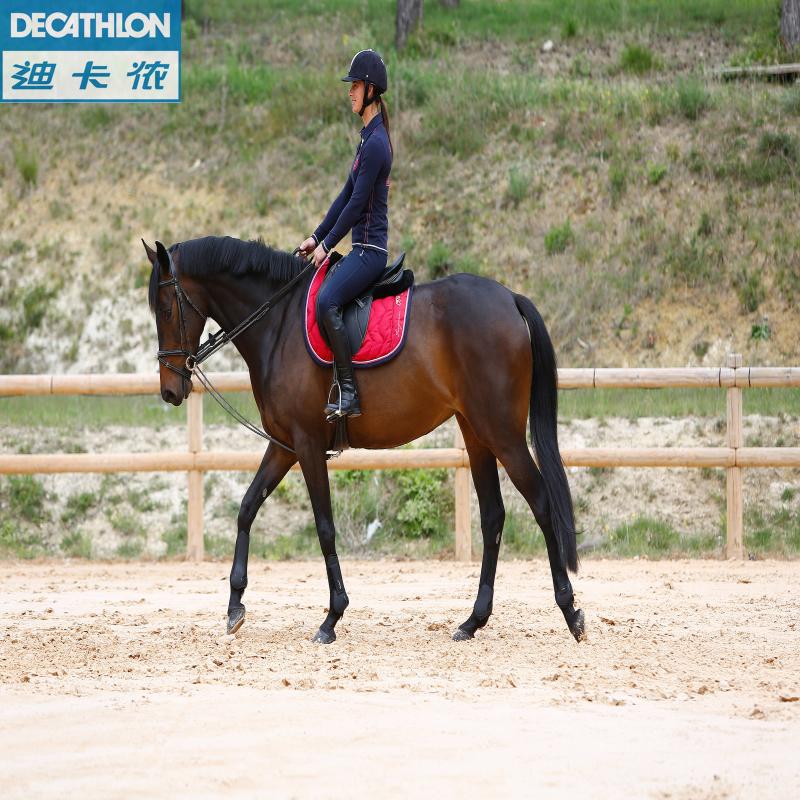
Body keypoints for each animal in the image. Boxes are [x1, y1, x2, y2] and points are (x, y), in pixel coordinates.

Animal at [144, 235, 585, 644]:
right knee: (493, 515)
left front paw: (331, 618)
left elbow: (324, 526)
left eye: (165, 309)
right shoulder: (283, 445)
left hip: (501, 432)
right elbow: (247, 508)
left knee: (541, 502)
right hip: (475, 432)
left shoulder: (307, 444)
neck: (277, 324)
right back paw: (473, 621)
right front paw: (235, 606)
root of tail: (509, 297)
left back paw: (570, 610)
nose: (169, 390)